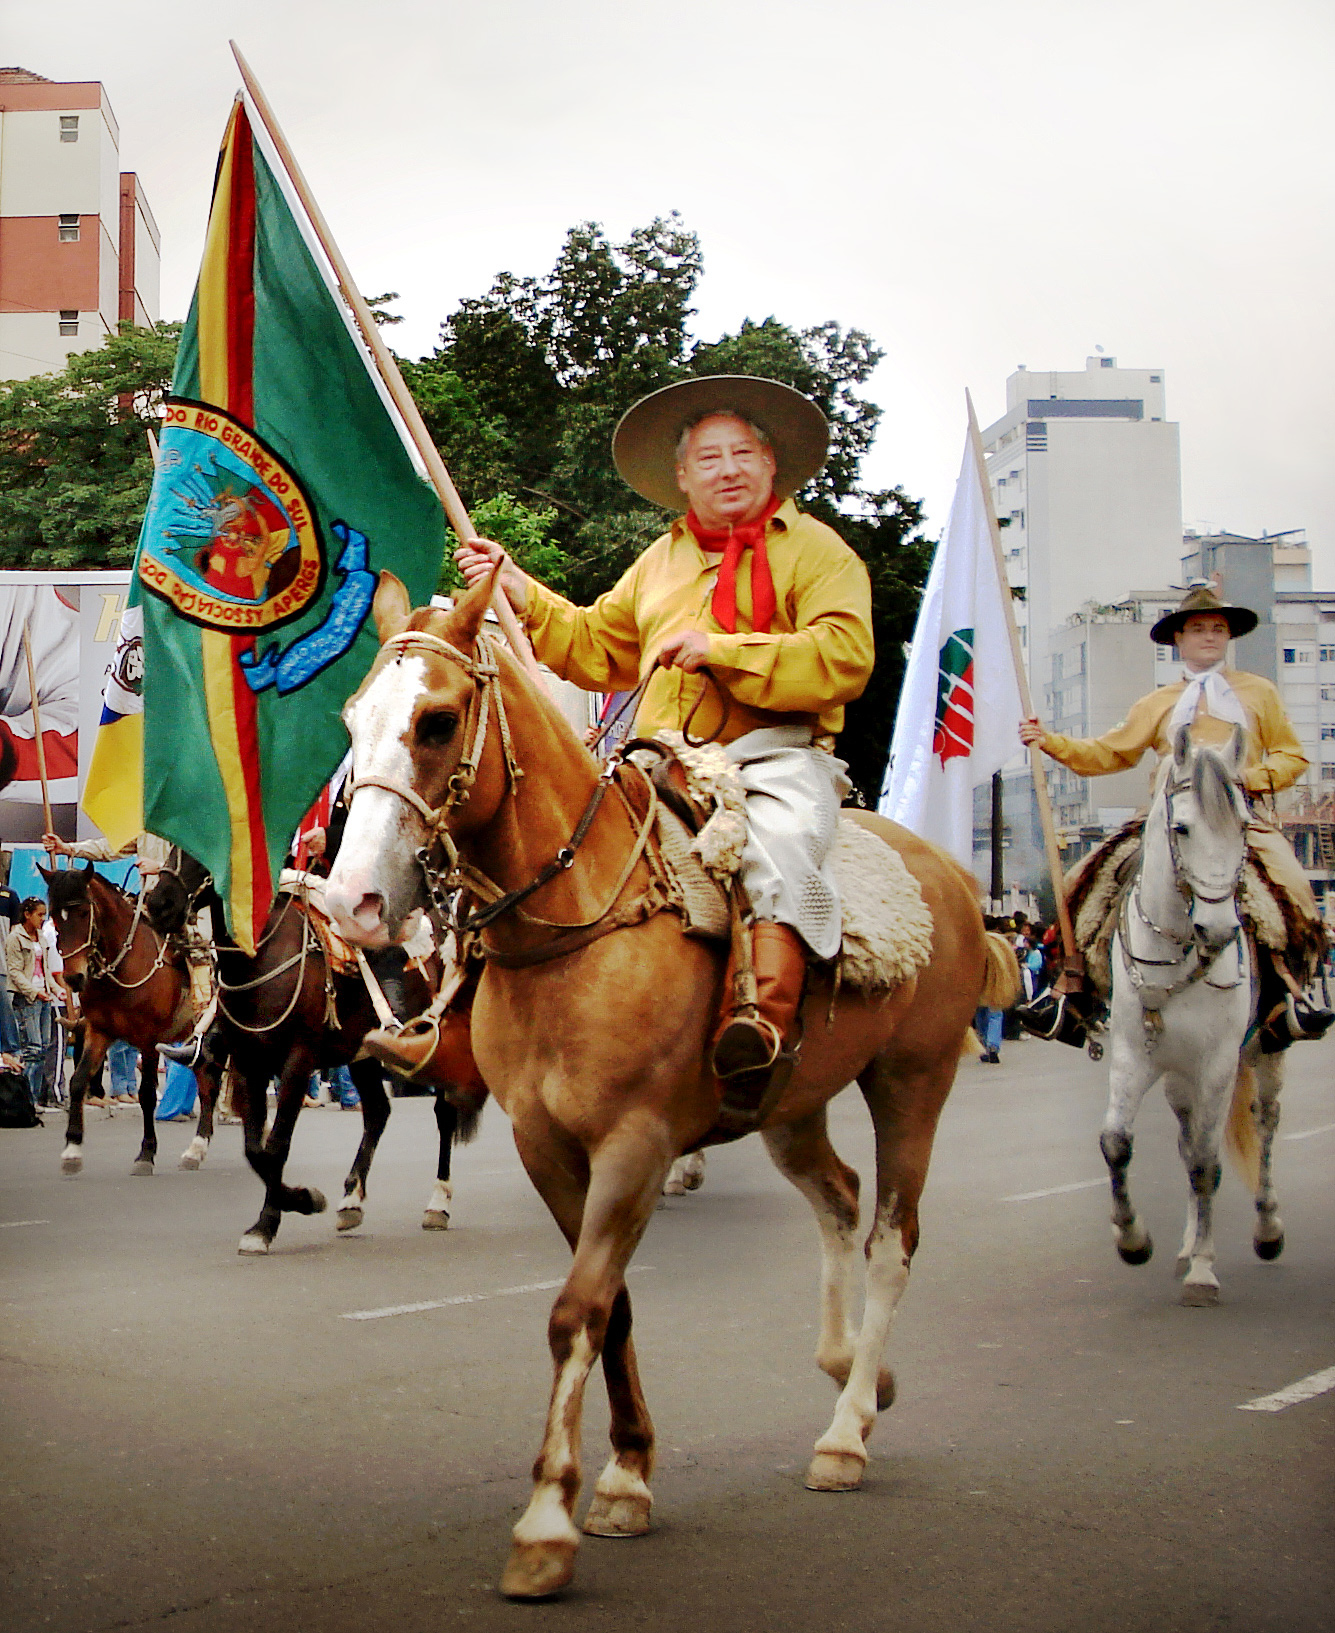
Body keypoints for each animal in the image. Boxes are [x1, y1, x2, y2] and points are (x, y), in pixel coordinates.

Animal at [38, 868, 212, 1175]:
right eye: (55, 916)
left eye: (83, 912)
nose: (73, 978)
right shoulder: (99, 1031)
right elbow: (78, 1081)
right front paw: (72, 1149)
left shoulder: (149, 1039)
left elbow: (147, 1094)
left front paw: (146, 1153)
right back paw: (197, 1148)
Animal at [148, 855, 479, 1247]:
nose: (159, 904)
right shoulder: (249, 1064)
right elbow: (255, 1149)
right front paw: (295, 1204)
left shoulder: (297, 1063)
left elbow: (276, 1146)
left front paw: (273, 1219)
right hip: (362, 1055)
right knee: (377, 1113)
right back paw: (351, 1201)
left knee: (444, 1115)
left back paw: (438, 1203)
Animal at [328, 571, 1011, 1593]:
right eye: (352, 717)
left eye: (438, 721)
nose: (351, 903)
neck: (576, 927)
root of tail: (958, 876)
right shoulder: (547, 1148)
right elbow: (611, 1307)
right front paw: (626, 1474)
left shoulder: (634, 1145)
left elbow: (577, 1310)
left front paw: (547, 1520)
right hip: (790, 1102)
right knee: (839, 1196)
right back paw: (852, 1364)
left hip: (911, 1082)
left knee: (892, 1237)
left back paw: (847, 1429)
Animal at [1090, 721, 1279, 1306]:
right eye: (1183, 828)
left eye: (1242, 825)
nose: (1217, 932)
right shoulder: (1133, 1056)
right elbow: (1117, 1144)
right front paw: (1132, 1239)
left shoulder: (1218, 1064)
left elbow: (1205, 1162)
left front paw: (1203, 1272)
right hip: (1178, 1078)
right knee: (1186, 1138)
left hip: (1261, 1053)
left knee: (1261, 1126)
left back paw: (1266, 1228)